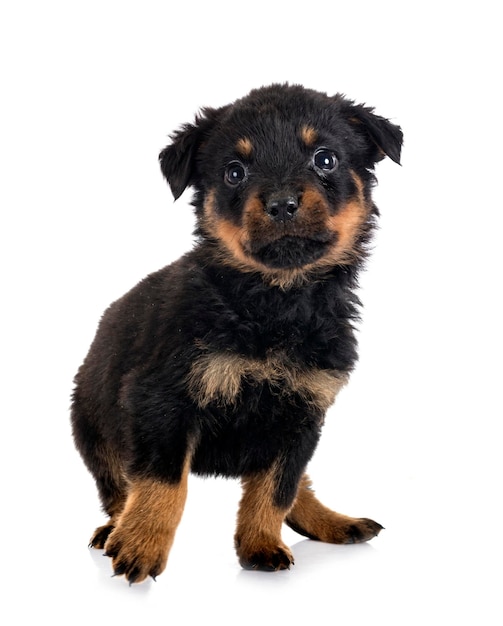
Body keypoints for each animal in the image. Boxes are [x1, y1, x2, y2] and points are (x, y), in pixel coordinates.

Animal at [72, 83, 402, 580]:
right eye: (234, 172)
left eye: (325, 159)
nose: (282, 204)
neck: (276, 303)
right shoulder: (161, 402)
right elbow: (162, 482)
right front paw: (141, 544)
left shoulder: (301, 416)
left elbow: (276, 488)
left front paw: (260, 544)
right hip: (94, 426)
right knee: (118, 489)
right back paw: (114, 529)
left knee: (297, 485)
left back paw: (330, 521)